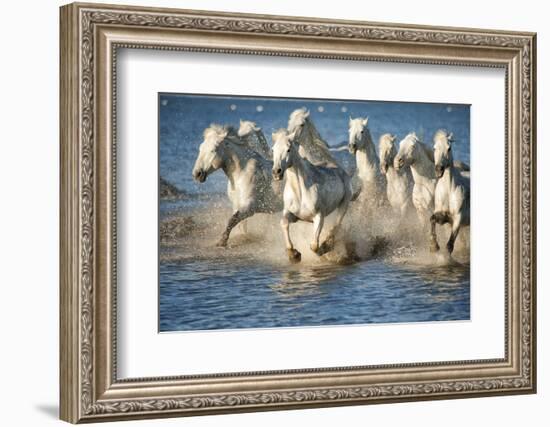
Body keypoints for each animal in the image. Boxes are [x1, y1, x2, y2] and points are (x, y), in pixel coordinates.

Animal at [272, 127, 354, 262]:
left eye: (288, 149)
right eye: (273, 149)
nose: (276, 172)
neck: (300, 192)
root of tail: (340, 169)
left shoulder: (319, 216)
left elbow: (314, 245)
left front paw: (321, 250)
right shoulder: (293, 215)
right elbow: (283, 222)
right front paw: (294, 254)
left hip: (344, 204)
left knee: (336, 225)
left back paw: (327, 246)